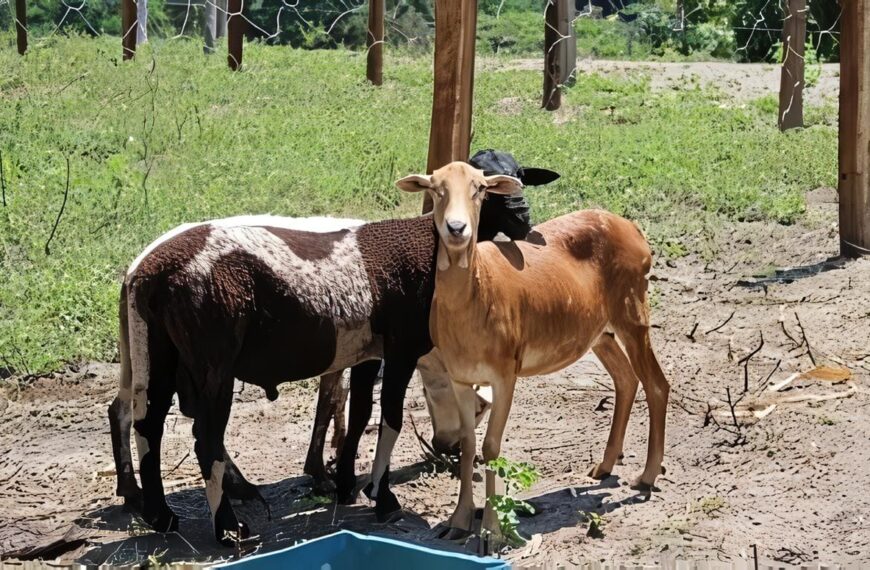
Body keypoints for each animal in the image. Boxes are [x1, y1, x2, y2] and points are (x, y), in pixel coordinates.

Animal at [398, 161, 672, 536]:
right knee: (626, 379)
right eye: (435, 189)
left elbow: (491, 446)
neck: (477, 296)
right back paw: (603, 466)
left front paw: (492, 529)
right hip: (598, 332)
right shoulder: (460, 377)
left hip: (633, 313)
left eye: (480, 188)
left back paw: (646, 476)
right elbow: (469, 445)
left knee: (657, 384)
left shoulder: (505, 372)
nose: (457, 229)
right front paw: (458, 522)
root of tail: (634, 229)